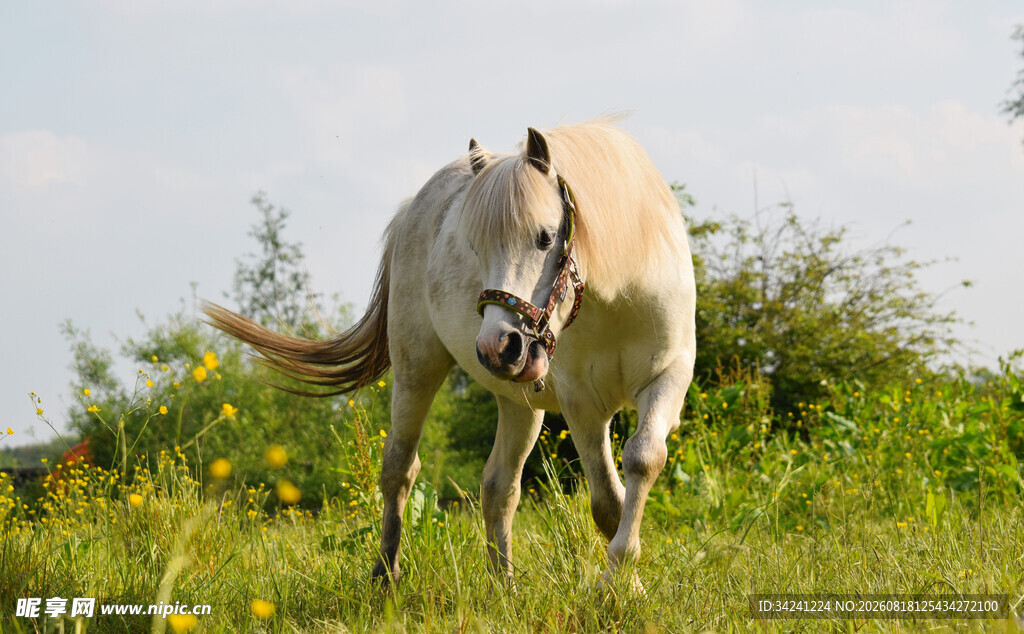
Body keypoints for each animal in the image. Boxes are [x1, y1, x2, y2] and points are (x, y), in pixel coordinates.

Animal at [203, 119, 696, 587]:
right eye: (474, 246)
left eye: (544, 237)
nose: (500, 346)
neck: (619, 295)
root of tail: (411, 210)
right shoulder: (582, 403)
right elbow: (608, 502)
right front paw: (620, 585)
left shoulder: (669, 378)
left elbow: (643, 458)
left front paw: (625, 580)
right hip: (417, 370)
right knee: (400, 469)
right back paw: (386, 575)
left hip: (520, 402)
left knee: (499, 487)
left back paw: (504, 586)